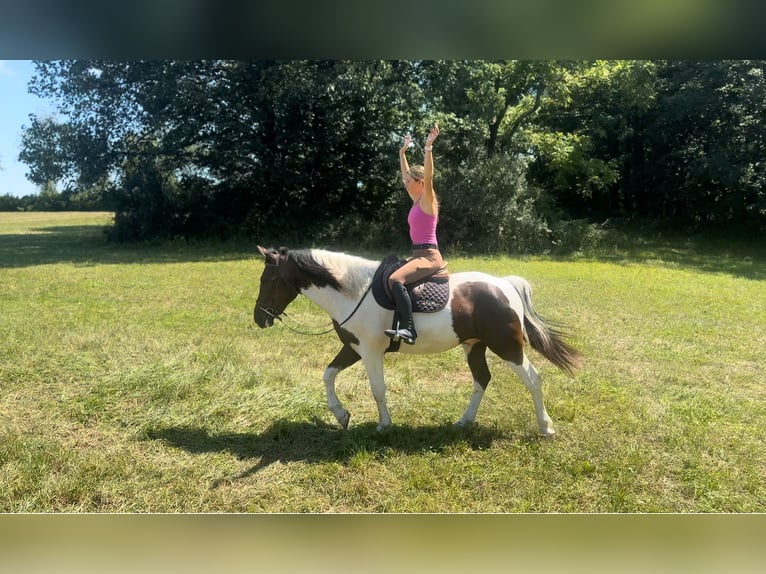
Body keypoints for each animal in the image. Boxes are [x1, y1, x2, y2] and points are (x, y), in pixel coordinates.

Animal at [253, 246, 582, 435]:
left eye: (268, 279)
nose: (259, 318)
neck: (354, 292)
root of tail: (505, 285)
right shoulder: (353, 348)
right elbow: (328, 375)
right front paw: (341, 415)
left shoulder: (370, 352)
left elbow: (378, 390)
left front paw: (383, 425)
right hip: (475, 345)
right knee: (482, 379)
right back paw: (464, 421)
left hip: (508, 347)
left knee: (532, 379)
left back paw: (545, 427)